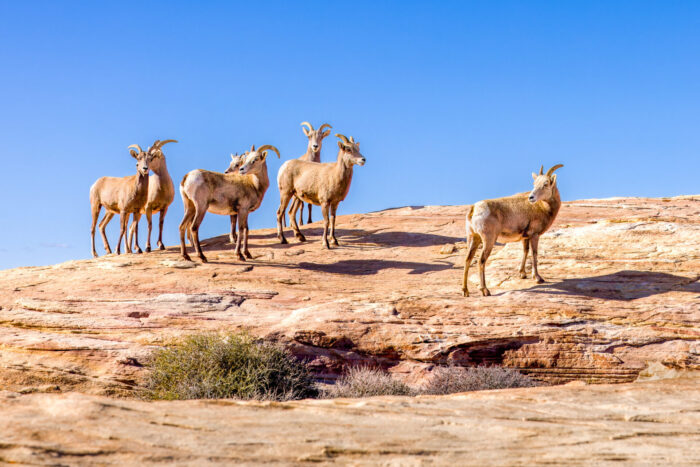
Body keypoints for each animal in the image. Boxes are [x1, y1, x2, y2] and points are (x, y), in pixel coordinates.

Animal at [462, 165, 568, 296]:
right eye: (534, 184)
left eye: (545, 184)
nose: (531, 197)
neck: (542, 207)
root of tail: (474, 208)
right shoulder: (534, 235)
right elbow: (534, 254)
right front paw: (538, 278)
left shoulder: (525, 237)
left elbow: (525, 251)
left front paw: (522, 274)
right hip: (488, 240)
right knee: (481, 261)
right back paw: (485, 290)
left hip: (473, 238)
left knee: (468, 259)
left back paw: (465, 291)